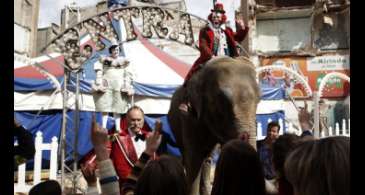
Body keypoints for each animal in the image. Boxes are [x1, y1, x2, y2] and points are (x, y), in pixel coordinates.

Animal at [168, 55, 258, 193]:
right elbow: (193, 157)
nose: (245, 136)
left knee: (207, 158)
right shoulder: (189, 117)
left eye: (260, 99)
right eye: (222, 101)